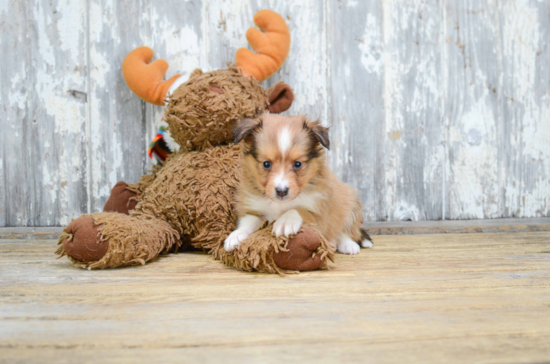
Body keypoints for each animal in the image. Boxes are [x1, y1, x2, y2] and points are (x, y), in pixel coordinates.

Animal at [224, 112, 376, 255]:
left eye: (297, 164)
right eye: (266, 164)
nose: (281, 191)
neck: (279, 205)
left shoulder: (319, 213)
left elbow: (298, 209)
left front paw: (285, 221)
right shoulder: (253, 208)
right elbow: (249, 221)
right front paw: (235, 235)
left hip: (350, 204)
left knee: (345, 230)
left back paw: (347, 245)